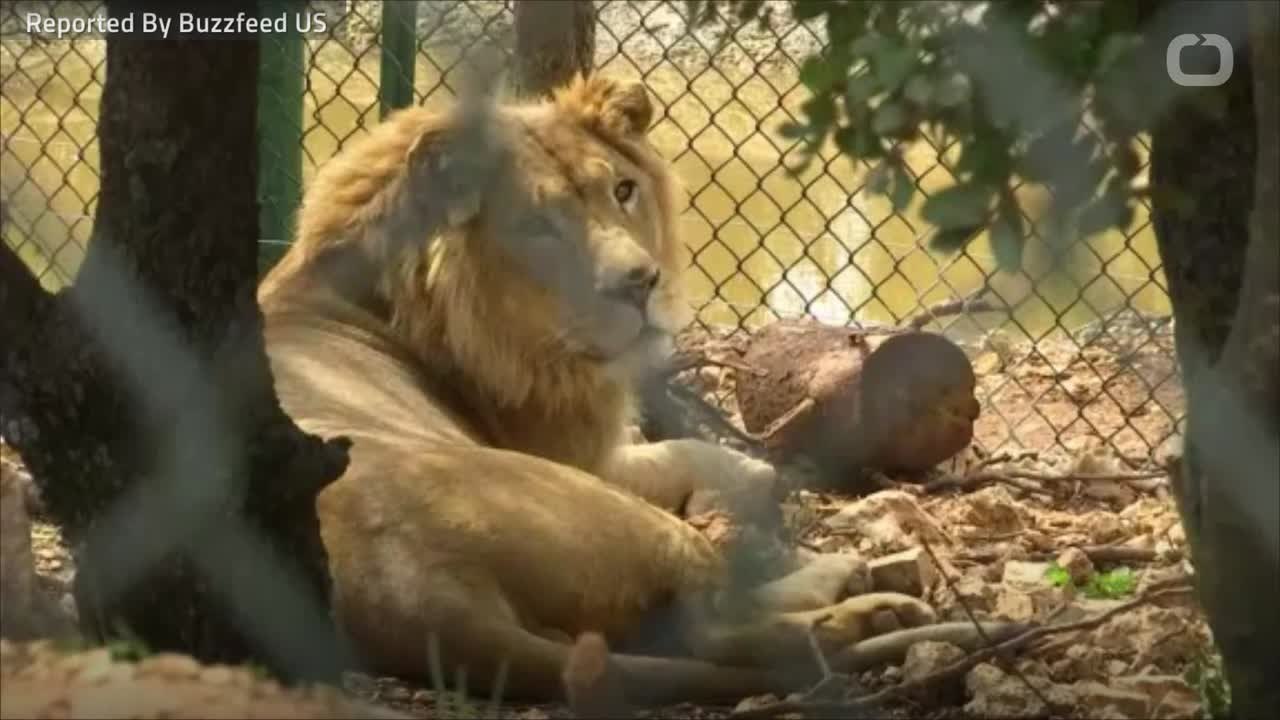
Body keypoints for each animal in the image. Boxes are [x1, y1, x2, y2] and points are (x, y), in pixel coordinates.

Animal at [256, 74, 937, 705]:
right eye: (538, 225)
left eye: (623, 190)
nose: (641, 282)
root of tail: (419, 598)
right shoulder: (582, 456)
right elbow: (705, 453)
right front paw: (758, 478)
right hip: (598, 507)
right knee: (718, 627)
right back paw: (865, 598)